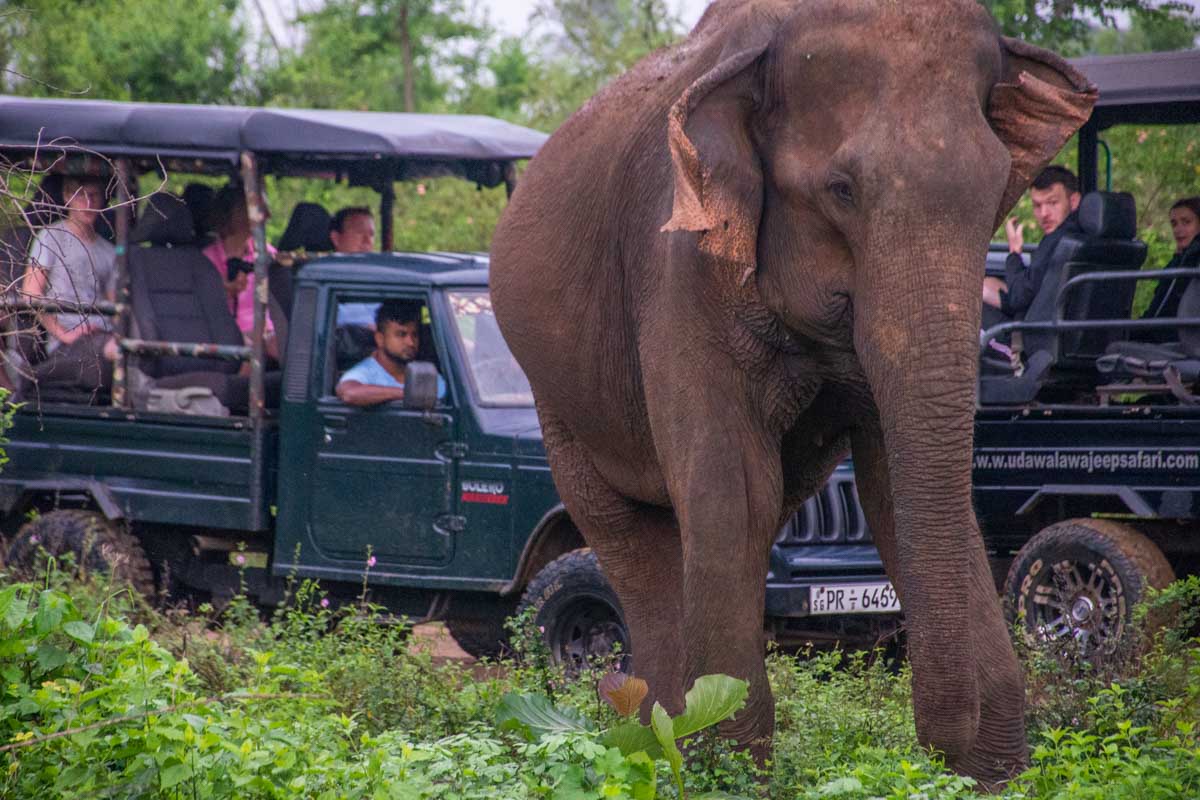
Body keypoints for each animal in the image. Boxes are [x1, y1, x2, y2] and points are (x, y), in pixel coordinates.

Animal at [490, 0, 1095, 785]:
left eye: (998, 192)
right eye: (842, 190)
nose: (943, 756)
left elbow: (892, 489)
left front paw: (995, 774)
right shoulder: (678, 268)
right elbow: (733, 488)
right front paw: (729, 770)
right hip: (556, 395)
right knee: (631, 531)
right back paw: (658, 738)